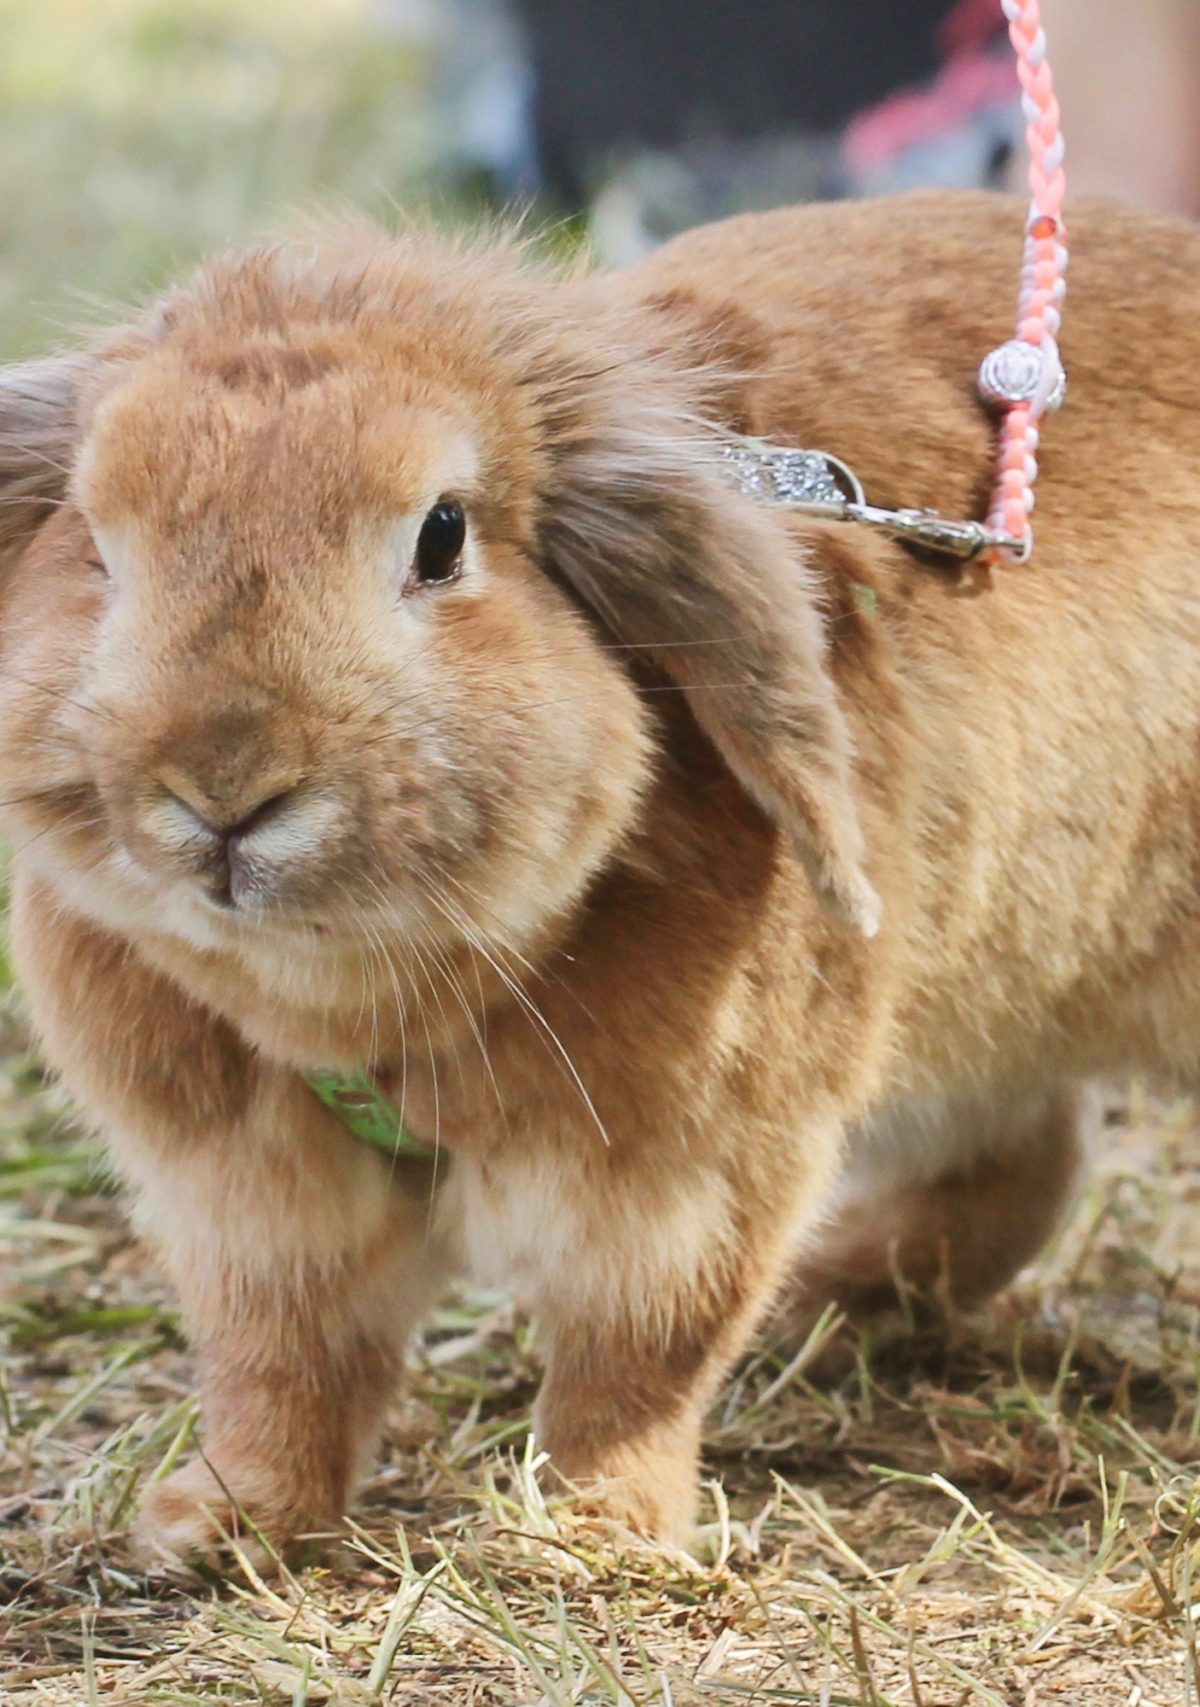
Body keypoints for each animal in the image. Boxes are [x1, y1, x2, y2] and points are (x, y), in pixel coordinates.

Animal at [2, 188, 1199, 1567]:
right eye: (95, 543)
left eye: (443, 536)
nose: (225, 785)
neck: (357, 1002)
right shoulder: (250, 1205)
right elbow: (281, 1363)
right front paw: (221, 1523)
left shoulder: (687, 1183)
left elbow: (635, 1365)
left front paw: (596, 1533)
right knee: (1024, 1160)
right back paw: (833, 1298)